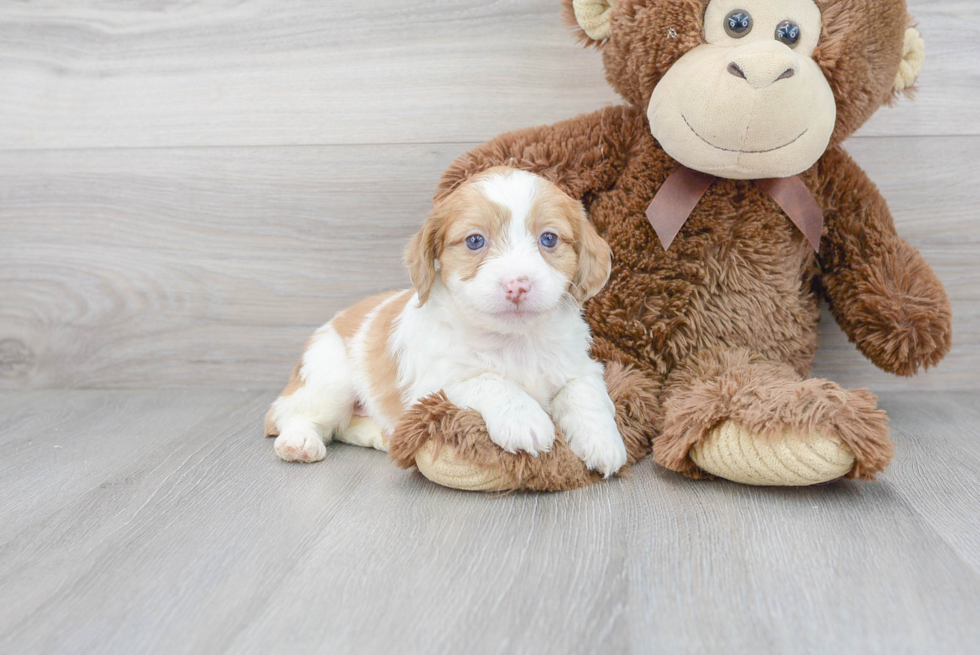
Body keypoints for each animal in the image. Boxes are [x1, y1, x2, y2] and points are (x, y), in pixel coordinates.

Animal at [260, 168, 628, 476]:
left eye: (549, 239)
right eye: (475, 241)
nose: (518, 285)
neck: (514, 339)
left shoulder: (580, 365)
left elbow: (585, 393)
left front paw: (603, 441)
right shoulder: (435, 384)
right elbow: (488, 380)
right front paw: (524, 418)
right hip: (329, 381)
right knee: (289, 415)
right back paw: (298, 442)